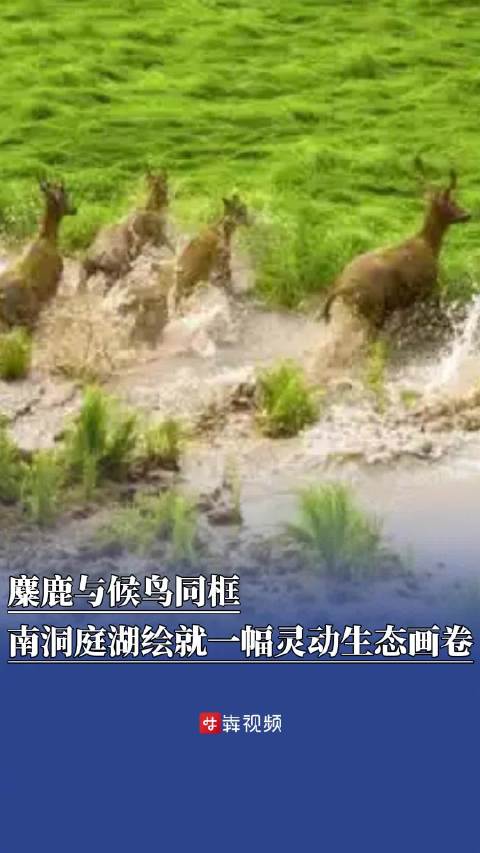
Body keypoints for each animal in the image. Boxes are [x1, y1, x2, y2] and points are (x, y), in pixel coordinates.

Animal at [322, 161, 471, 328]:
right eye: (452, 202)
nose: (467, 214)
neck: (430, 246)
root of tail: (344, 288)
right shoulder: (428, 287)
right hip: (374, 308)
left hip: (361, 311)